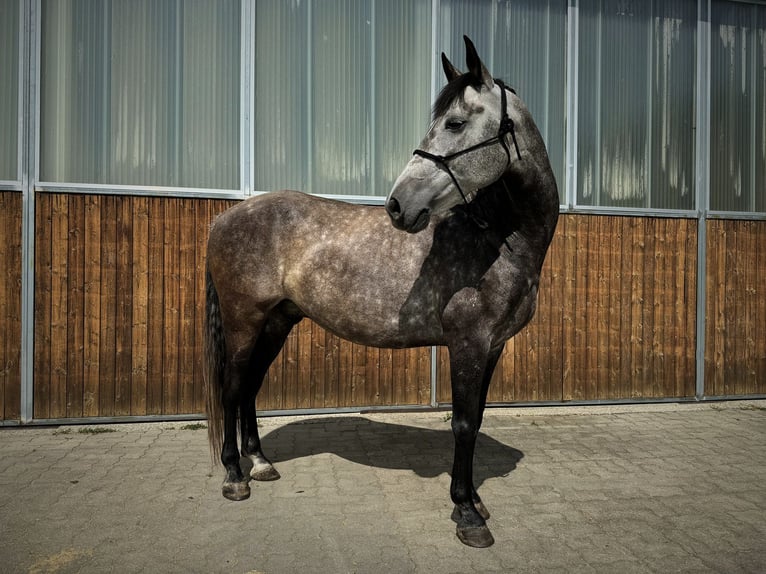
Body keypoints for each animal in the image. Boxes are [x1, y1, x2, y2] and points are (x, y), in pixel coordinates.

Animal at [207, 36, 560, 548]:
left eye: (455, 123)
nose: (398, 205)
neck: (498, 237)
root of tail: (227, 217)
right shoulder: (468, 344)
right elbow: (463, 423)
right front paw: (466, 514)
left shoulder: (492, 347)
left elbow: (475, 420)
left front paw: (476, 501)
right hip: (243, 320)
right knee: (233, 388)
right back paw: (235, 475)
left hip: (276, 321)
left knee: (251, 385)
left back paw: (261, 463)